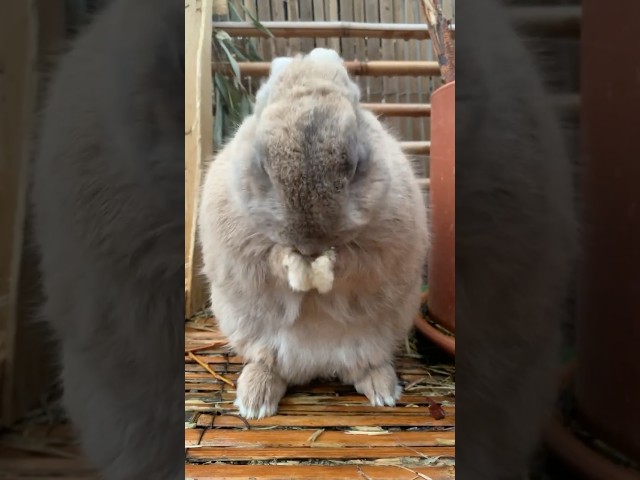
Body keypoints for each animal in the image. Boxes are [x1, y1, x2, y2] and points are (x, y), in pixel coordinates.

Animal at [199, 47, 430, 418]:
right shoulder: (243, 246)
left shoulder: (380, 248)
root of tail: (316, 366)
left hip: (377, 338)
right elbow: (272, 259)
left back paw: (384, 393)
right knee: (267, 364)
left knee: (365, 366)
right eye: (263, 167)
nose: (309, 244)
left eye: (356, 165)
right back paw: (255, 403)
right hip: (252, 334)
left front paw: (322, 270)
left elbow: (354, 262)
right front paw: (297, 269)